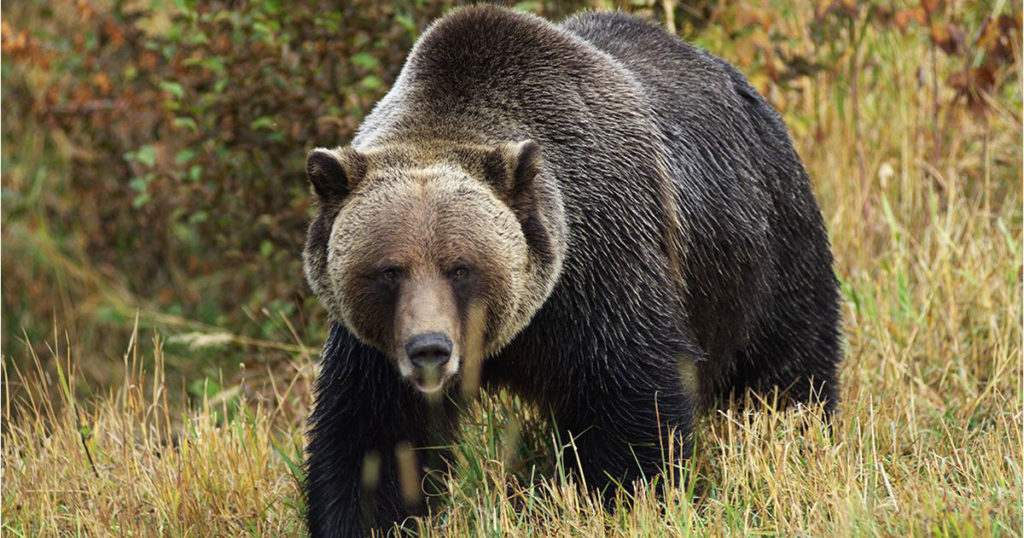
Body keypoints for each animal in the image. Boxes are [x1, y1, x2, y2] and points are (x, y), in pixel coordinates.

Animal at [302, 6, 841, 537]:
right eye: (389, 270)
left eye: (461, 267)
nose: (429, 348)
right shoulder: (375, 349)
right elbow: (370, 438)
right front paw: (368, 515)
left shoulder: (602, 269)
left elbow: (631, 402)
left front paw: (628, 499)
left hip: (762, 250)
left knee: (788, 368)